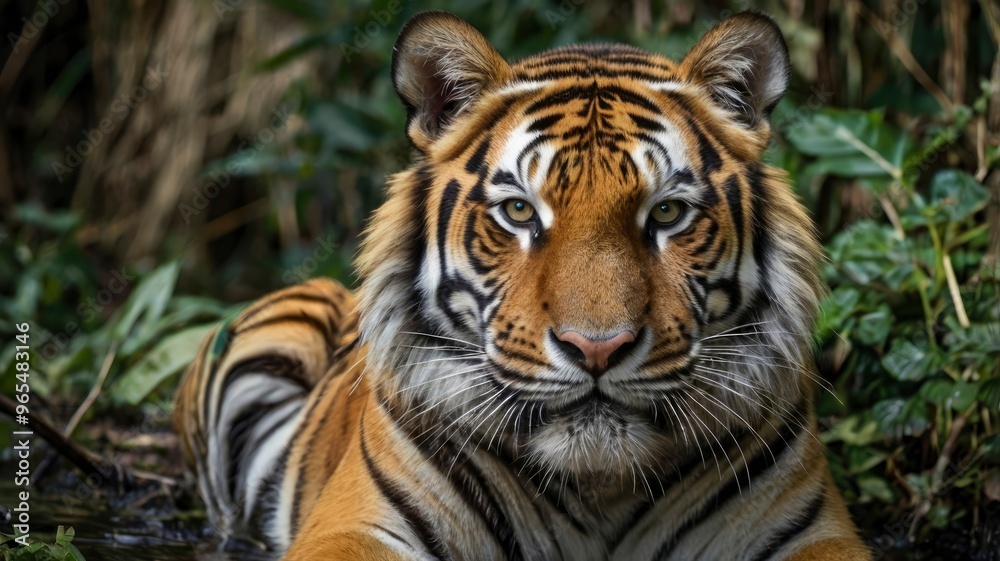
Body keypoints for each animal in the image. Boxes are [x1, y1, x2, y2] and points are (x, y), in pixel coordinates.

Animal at [174, 9, 872, 561]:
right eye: (519, 212)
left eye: (668, 213)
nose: (597, 349)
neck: (599, 487)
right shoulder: (356, 525)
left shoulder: (809, 530)